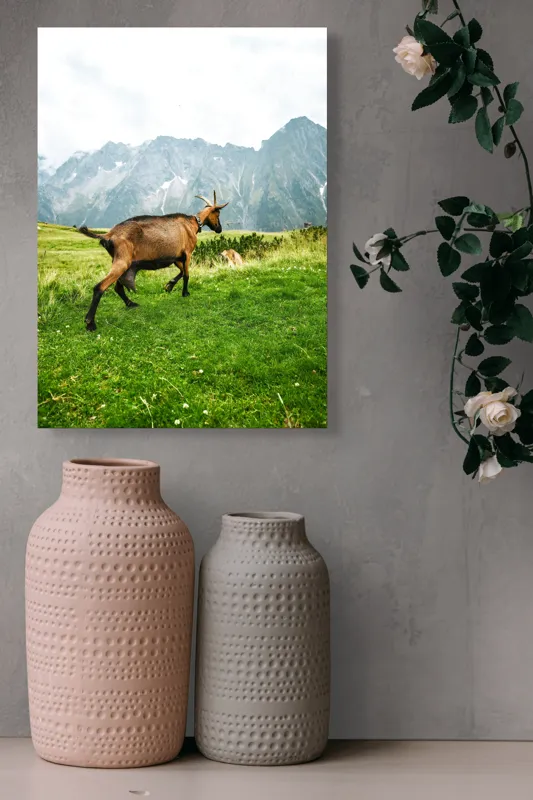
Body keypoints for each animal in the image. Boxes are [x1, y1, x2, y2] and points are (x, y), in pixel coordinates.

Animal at [75, 190, 228, 331]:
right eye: (218, 214)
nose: (219, 229)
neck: (192, 224)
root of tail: (108, 235)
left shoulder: (176, 257)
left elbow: (181, 272)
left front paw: (169, 285)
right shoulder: (188, 253)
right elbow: (186, 275)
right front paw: (185, 293)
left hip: (123, 262)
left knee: (118, 287)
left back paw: (131, 303)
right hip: (122, 261)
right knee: (99, 287)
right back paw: (90, 323)